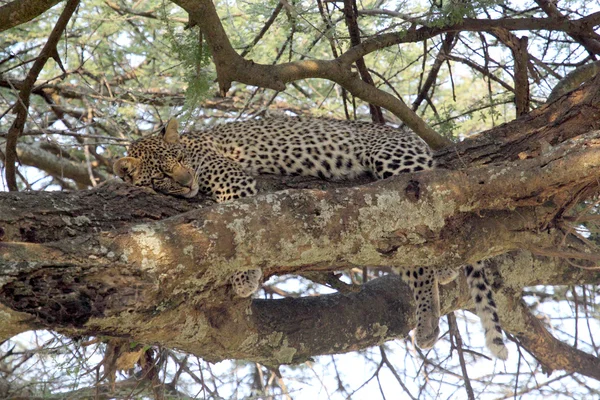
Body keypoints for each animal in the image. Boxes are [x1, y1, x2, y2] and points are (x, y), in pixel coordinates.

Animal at [115, 116, 508, 360]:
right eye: (162, 175)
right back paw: (427, 320)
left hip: (396, 164)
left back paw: (446, 266)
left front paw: (244, 277)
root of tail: (406, 133)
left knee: (436, 203)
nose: (186, 183)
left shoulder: (233, 180)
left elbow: (239, 225)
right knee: (418, 259)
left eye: (181, 160)